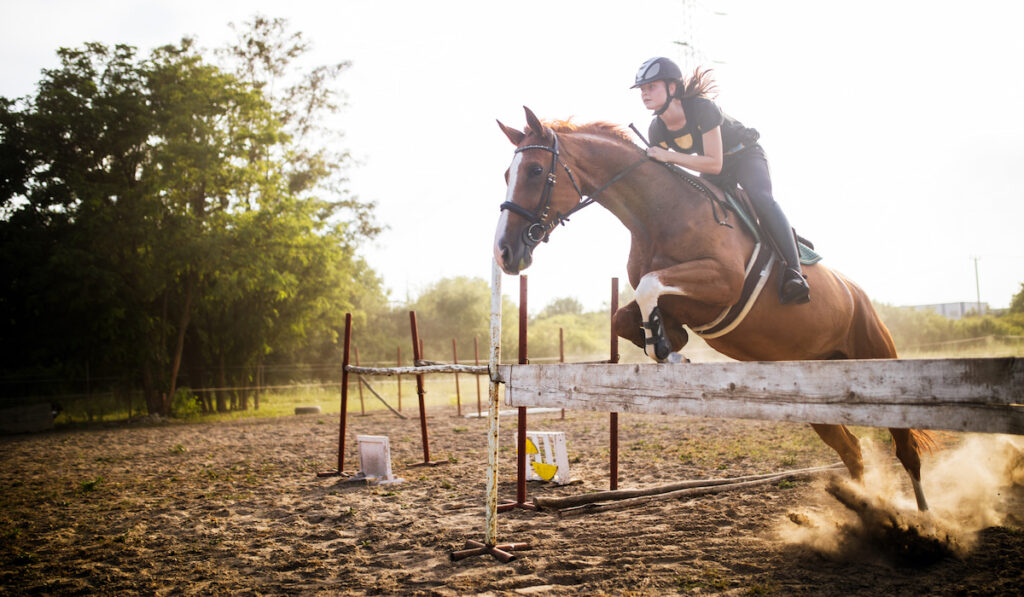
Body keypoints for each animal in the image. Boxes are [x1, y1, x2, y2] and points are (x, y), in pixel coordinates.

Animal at [491, 106, 933, 509]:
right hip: (813, 394)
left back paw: (923, 522)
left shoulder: (723, 280)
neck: (658, 213)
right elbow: (626, 316)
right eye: (507, 175)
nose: (505, 253)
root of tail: (859, 294)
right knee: (852, 449)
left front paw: (665, 348)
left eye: (534, 170)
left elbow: (652, 287)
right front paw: (665, 345)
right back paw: (865, 509)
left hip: (878, 358)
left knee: (906, 450)